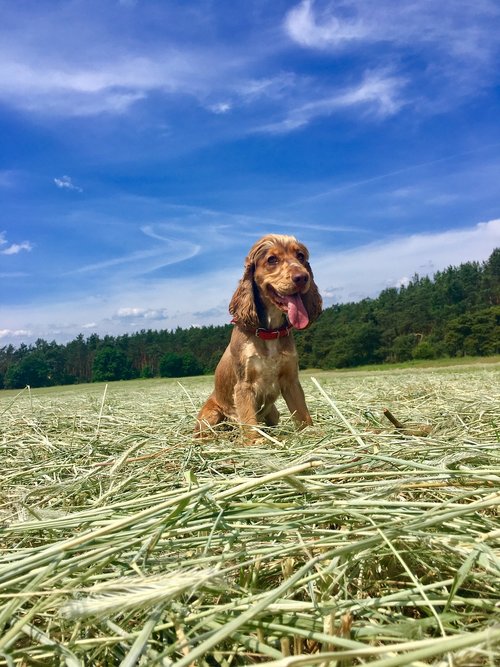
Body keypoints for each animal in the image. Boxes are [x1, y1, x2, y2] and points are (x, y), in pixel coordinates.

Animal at [193, 232, 322, 440]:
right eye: (272, 259)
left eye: (300, 256)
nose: (303, 277)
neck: (269, 332)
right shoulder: (244, 385)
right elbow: (248, 418)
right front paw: (255, 442)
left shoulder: (291, 380)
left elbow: (302, 412)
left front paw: (310, 433)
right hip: (210, 415)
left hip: (273, 412)